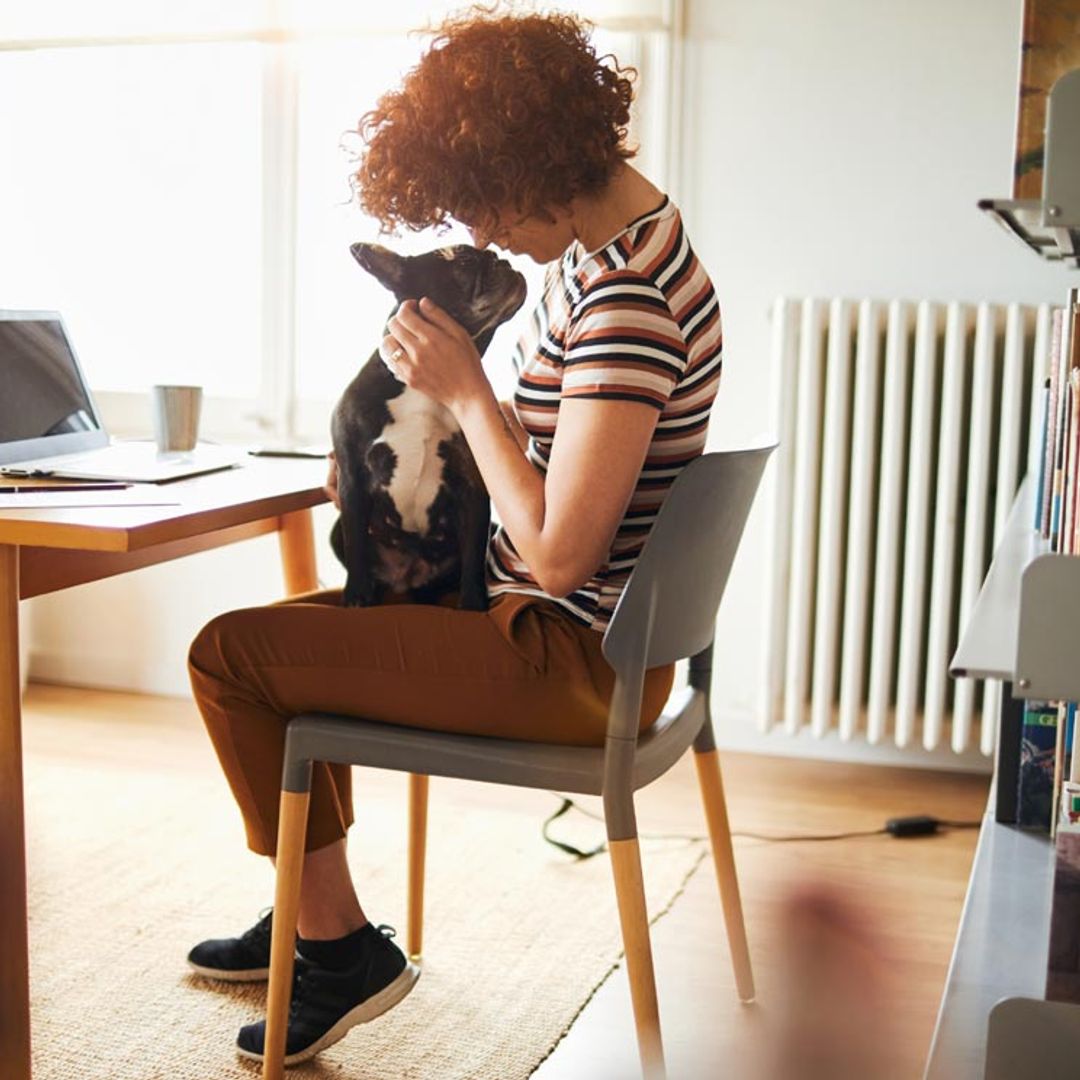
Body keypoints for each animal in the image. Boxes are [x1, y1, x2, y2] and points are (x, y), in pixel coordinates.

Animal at [330, 247, 529, 613]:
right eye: (464, 260)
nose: (504, 261)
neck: (424, 389)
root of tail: (407, 579)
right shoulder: (350, 479)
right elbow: (357, 547)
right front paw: (357, 598)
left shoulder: (474, 487)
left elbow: (474, 553)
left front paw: (472, 603)